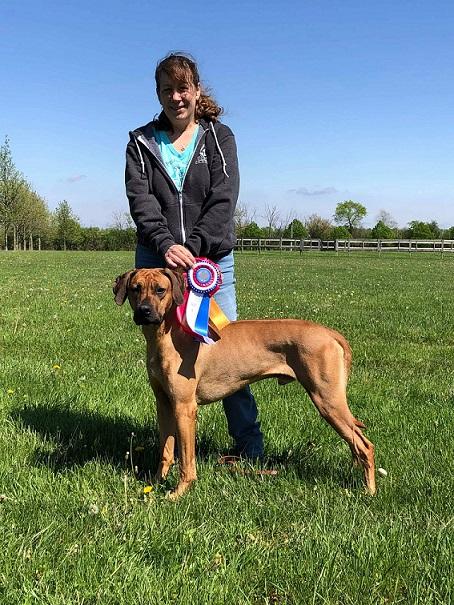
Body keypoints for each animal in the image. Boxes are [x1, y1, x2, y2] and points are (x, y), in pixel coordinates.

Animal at [114, 268, 376, 499]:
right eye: (135, 289)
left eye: (160, 290)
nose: (144, 311)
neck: (165, 336)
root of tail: (330, 333)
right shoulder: (165, 404)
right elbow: (166, 450)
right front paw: (156, 482)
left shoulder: (184, 407)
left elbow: (187, 458)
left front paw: (179, 492)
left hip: (327, 400)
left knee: (365, 446)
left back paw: (369, 491)